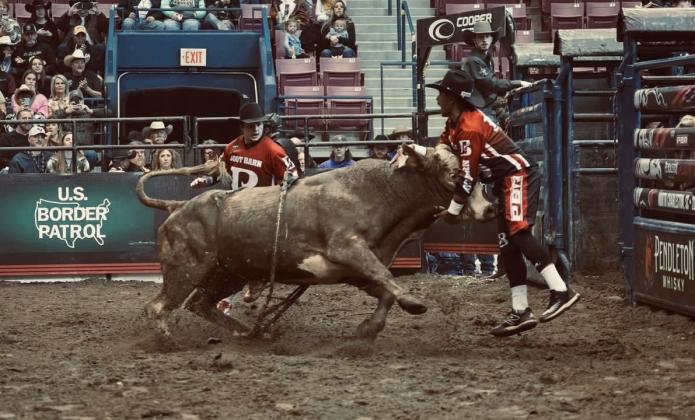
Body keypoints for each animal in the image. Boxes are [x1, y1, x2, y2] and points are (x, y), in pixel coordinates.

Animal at [136, 145, 496, 340]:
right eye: (453, 174)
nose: (490, 209)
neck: (380, 192)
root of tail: (177, 206)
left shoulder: (354, 270)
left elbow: (384, 290)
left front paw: (368, 328)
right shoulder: (346, 247)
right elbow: (385, 277)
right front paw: (413, 303)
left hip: (227, 273)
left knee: (201, 305)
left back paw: (251, 332)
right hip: (187, 270)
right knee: (158, 306)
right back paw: (168, 340)